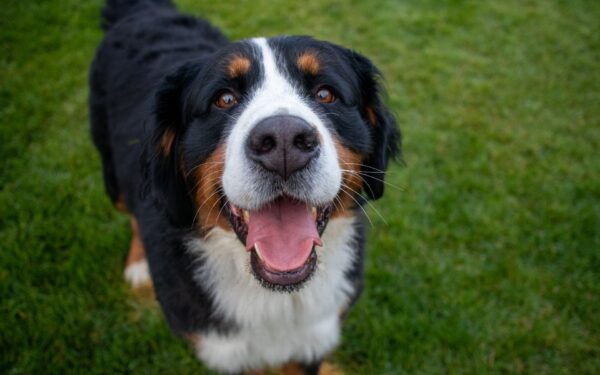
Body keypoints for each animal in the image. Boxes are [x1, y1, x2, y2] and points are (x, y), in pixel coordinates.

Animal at [89, 0, 404, 374]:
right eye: (224, 99)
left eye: (326, 94)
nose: (283, 141)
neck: (273, 296)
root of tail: (144, 11)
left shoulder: (313, 339)